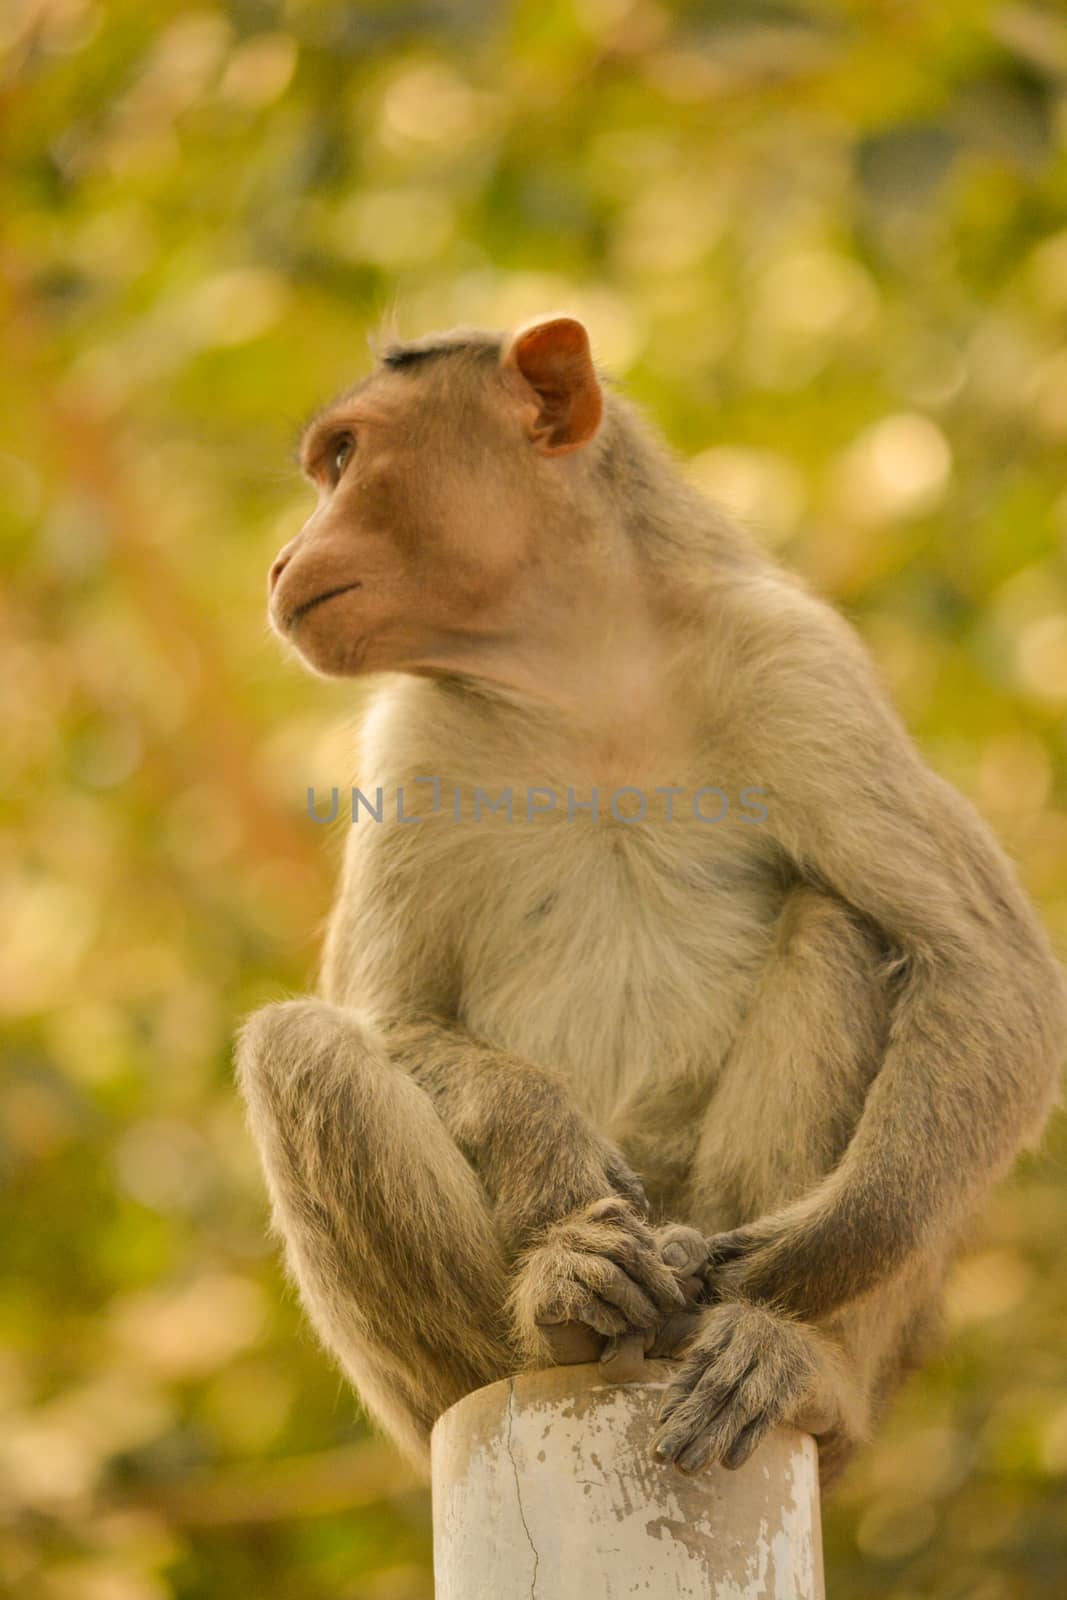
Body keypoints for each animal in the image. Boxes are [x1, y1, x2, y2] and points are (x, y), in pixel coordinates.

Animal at [238, 312, 1067, 1484]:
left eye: (345, 459)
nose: (281, 555)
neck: (582, 673)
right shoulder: (409, 743)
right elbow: (395, 1015)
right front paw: (547, 1141)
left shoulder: (798, 665)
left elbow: (983, 965)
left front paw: (800, 1255)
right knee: (300, 1049)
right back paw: (557, 1310)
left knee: (839, 928)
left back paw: (779, 1350)